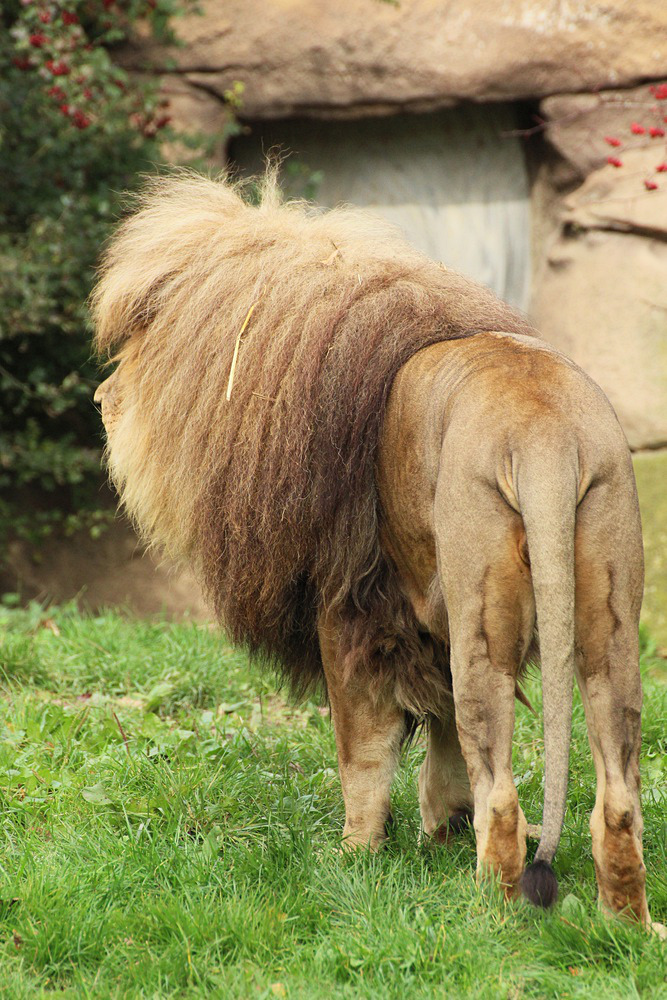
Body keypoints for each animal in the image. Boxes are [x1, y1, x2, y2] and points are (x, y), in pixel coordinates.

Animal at [92, 170, 664, 928]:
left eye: (134, 347)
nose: (100, 397)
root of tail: (545, 436)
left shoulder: (349, 610)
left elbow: (362, 751)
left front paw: (354, 855)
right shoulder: (421, 623)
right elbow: (440, 737)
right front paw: (438, 828)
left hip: (484, 626)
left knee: (503, 796)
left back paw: (488, 916)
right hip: (608, 621)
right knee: (616, 796)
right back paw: (628, 923)